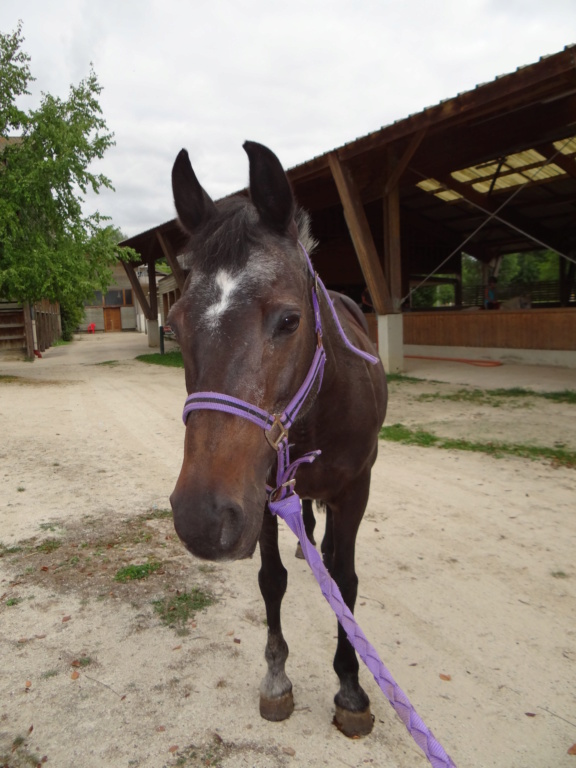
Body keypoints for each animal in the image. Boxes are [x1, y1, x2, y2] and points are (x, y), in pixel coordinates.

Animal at [169, 141, 390, 736]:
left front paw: (350, 687)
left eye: (290, 320)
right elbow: (272, 580)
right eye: (174, 323)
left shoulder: (356, 489)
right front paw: (276, 679)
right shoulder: (262, 496)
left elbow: (347, 582)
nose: (201, 518)